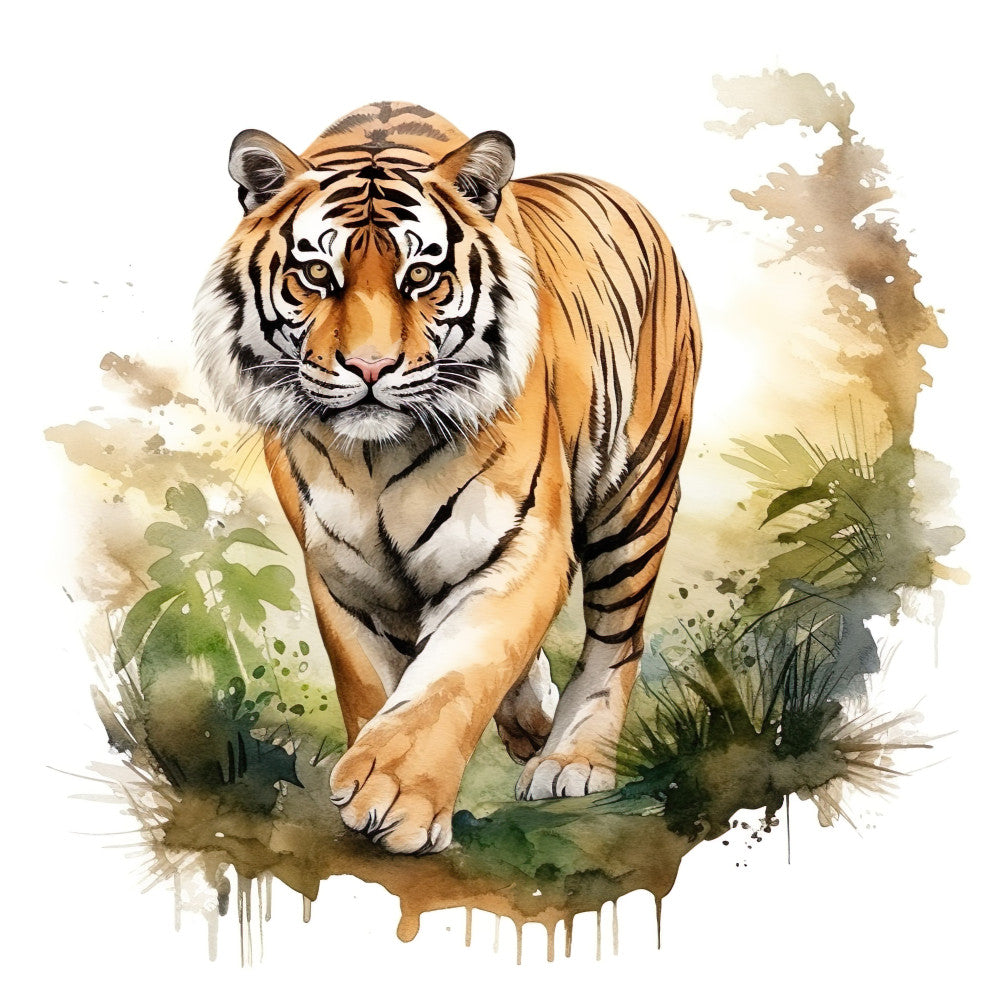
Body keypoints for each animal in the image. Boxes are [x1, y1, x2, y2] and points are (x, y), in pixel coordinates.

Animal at [195, 101, 700, 855]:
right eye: (317, 275)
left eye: (421, 277)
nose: (370, 367)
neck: (372, 459)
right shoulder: (344, 575)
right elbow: (372, 686)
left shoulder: (519, 541)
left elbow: (455, 672)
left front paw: (393, 794)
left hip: (635, 498)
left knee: (617, 638)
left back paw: (571, 759)